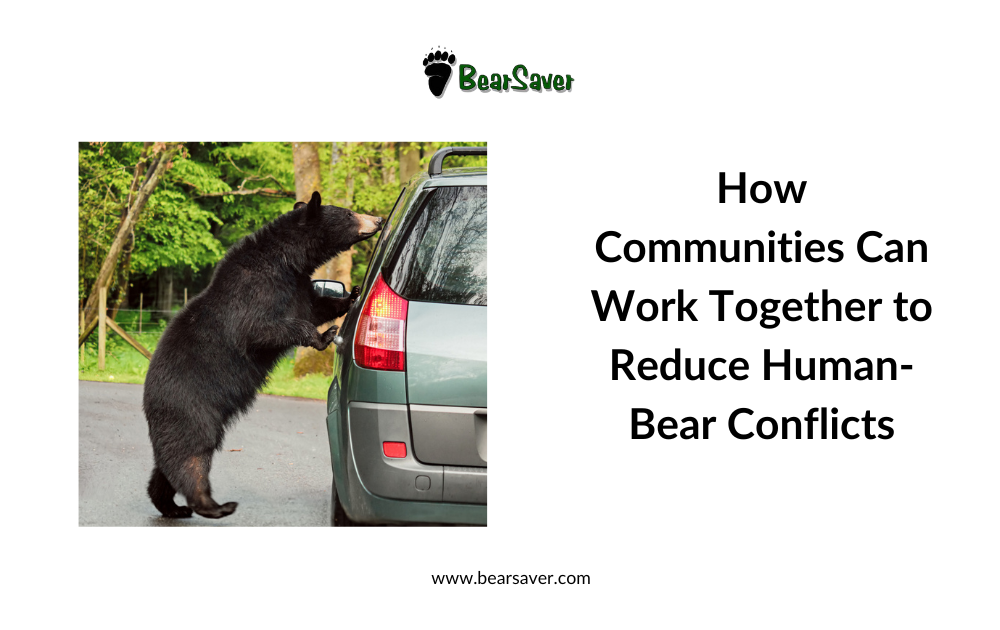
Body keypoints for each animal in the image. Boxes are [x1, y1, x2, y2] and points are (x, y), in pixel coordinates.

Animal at [142, 191, 383, 519]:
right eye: (348, 214)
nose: (379, 219)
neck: (286, 261)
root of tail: (148, 401)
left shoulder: (296, 285)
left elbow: (314, 306)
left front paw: (352, 294)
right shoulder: (255, 291)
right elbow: (262, 329)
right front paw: (324, 336)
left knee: (167, 464)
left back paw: (170, 506)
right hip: (190, 409)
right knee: (190, 456)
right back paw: (213, 505)